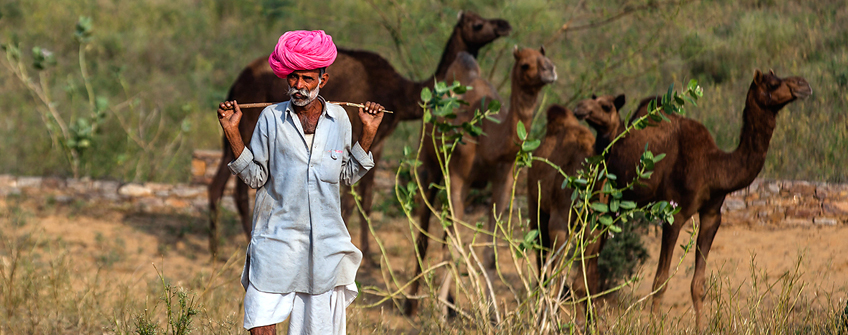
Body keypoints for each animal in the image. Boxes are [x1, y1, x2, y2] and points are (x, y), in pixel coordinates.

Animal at [206, 10, 512, 258]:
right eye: (477, 24)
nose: (504, 25)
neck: (400, 94)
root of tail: (237, 83)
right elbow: (354, 199)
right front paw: (360, 254)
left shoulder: (379, 139)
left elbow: (368, 193)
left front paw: (369, 253)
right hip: (250, 123)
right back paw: (236, 244)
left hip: (234, 138)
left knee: (220, 183)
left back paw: (219, 249)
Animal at [408, 46, 560, 316]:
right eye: (525, 64)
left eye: (545, 57)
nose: (550, 70)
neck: (489, 138)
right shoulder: (458, 176)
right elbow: (455, 248)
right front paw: (440, 313)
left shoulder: (503, 181)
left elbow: (489, 253)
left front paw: (493, 314)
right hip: (428, 159)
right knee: (424, 231)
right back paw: (412, 304)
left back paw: (451, 304)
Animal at [528, 93, 628, 298]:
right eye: (595, 100)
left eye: (607, 106)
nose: (581, 107)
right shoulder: (559, 221)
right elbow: (557, 275)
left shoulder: (593, 227)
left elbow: (580, 283)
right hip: (534, 204)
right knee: (540, 253)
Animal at [600, 71, 812, 328]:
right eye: (773, 83)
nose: (803, 84)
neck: (713, 168)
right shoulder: (673, 215)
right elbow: (660, 281)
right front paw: (653, 327)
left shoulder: (712, 215)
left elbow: (697, 285)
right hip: (608, 195)